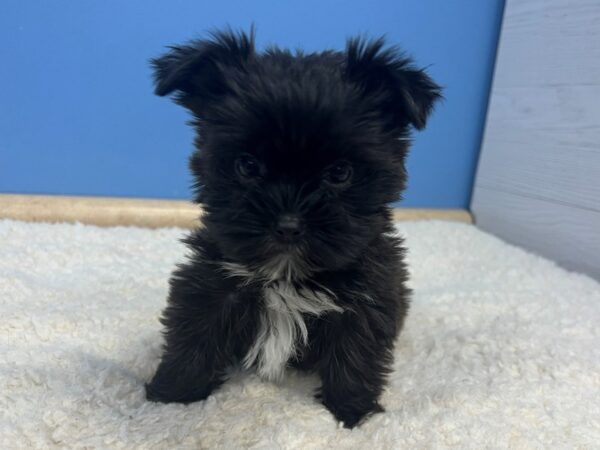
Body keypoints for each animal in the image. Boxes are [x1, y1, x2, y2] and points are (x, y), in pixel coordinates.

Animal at [146, 29, 440, 428]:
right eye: (247, 166)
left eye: (340, 173)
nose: (288, 225)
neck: (287, 274)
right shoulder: (211, 284)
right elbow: (194, 336)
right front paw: (171, 400)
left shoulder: (367, 299)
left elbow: (356, 356)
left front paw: (353, 415)